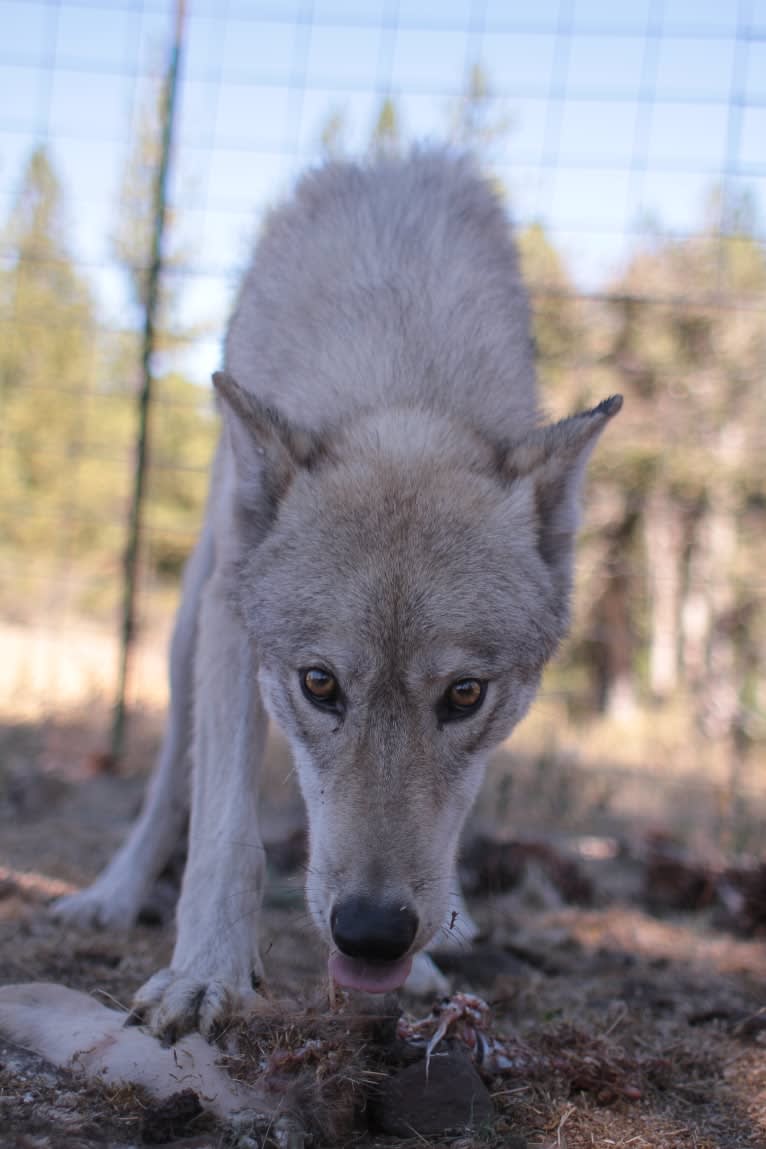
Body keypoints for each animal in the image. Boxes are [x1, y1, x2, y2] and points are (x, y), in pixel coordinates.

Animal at [56, 148, 624, 1038]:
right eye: (320, 684)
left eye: (464, 694)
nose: (372, 932)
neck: (401, 389)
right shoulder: (232, 630)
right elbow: (224, 835)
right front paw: (205, 975)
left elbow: (442, 832)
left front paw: (423, 956)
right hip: (187, 630)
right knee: (168, 785)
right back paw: (112, 894)